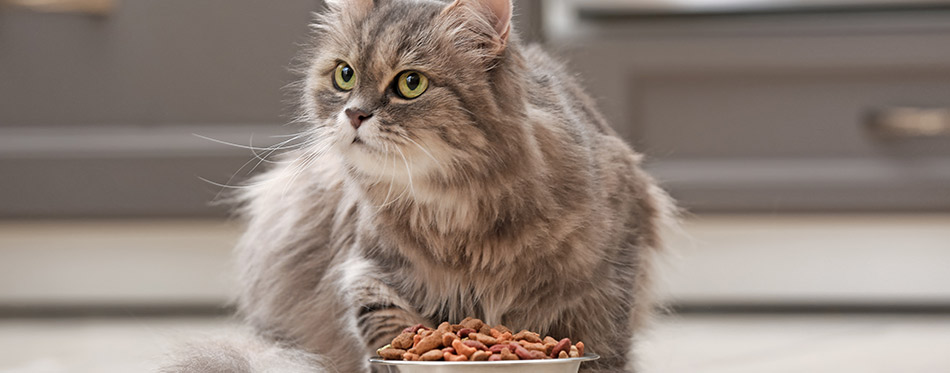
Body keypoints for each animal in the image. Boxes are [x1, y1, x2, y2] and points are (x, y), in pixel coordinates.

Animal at [164, 0, 672, 370]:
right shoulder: (372, 279)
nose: (354, 114)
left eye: (411, 84)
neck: (455, 209)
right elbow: (389, 338)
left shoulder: (607, 288)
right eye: (344, 74)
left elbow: (606, 354)